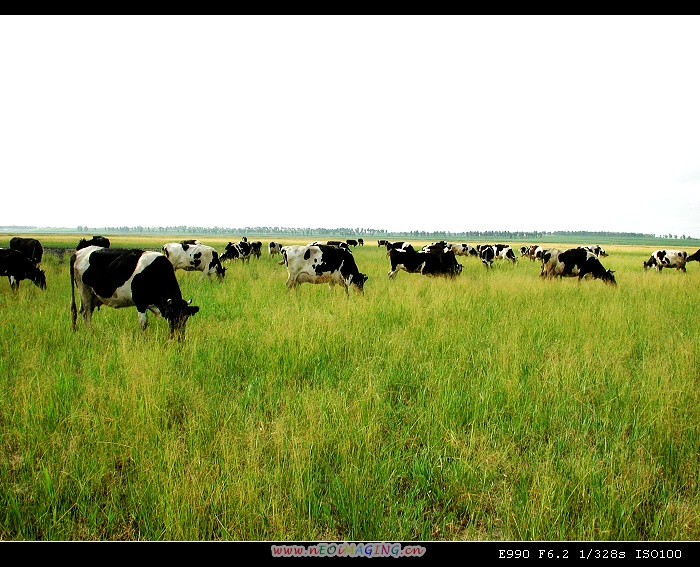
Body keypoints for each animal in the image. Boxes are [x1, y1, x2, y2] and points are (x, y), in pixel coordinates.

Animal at [70, 247, 200, 338]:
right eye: (170, 316)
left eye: (185, 317)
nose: (178, 337)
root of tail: (77, 253)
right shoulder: (140, 302)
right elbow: (144, 323)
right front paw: (144, 339)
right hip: (84, 290)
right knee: (86, 313)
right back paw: (89, 332)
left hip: (91, 295)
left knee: (84, 312)